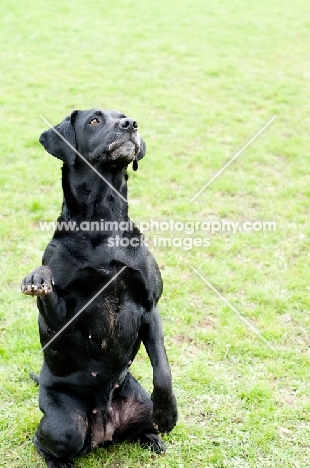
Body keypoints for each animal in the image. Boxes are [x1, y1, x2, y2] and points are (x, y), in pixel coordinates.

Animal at [21, 109, 177, 464]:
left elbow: (162, 368)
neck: (103, 223)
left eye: (124, 116)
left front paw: (168, 412)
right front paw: (39, 278)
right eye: (94, 120)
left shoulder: (149, 306)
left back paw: (153, 437)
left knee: (139, 428)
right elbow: (48, 291)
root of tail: (104, 430)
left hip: (139, 402)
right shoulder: (62, 319)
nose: (130, 125)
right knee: (43, 442)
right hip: (65, 425)